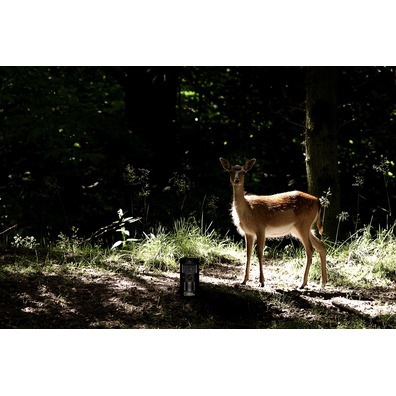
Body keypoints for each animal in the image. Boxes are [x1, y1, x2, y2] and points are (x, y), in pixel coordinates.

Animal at [218, 156, 326, 290]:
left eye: (243, 172)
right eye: (230, 171)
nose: (236, 180)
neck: (248, 210)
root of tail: (318, 201)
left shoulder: (260, 228)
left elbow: (259, 253)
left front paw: (261, 282)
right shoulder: (248, 233)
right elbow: (248, 254)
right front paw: (243, 280)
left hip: (303, 224)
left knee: (310, 250)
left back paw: (302, 284)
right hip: (301, 228)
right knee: (321, 246)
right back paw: (323, 283)